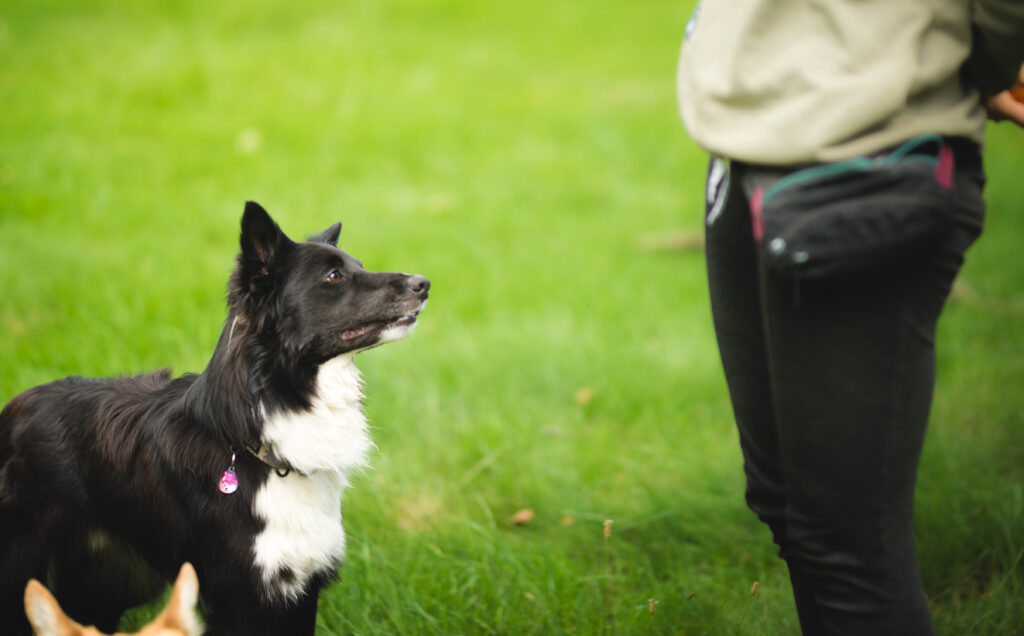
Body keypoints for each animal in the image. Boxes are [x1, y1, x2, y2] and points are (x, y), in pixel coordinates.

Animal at [0, 201, 428, 630]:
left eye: (359, 266)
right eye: (334, 275)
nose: (423, 283)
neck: (258, 442)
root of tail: (12, 409)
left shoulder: (301, 588)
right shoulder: (237, 595)